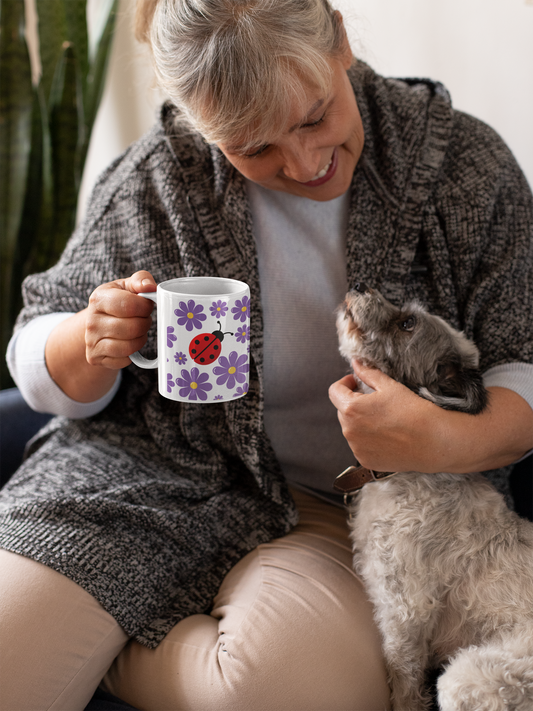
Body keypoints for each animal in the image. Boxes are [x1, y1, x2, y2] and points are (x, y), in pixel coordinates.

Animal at [334, 284, 532, 711]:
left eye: (407, 323)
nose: (360, 286)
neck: (406, 475)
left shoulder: (404, 609)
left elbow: (405, 682)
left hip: (471, 677)